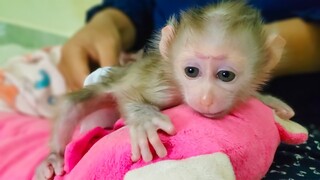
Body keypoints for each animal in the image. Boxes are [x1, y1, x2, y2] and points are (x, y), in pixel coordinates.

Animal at [36, 1, 294, 180]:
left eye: (225, 75)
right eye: (191, 71)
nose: (206, 98)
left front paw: (268, 100)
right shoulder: (163, 86)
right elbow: (128, 91)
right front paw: (145, 121)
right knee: (73, 106)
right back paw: (53, 157)